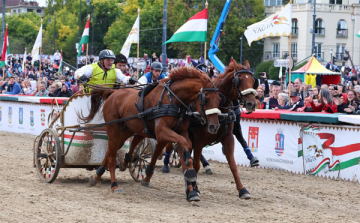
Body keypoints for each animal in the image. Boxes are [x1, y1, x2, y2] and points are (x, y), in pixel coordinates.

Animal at [79, 66, 222, 199]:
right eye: (206, 99)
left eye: (219, 99)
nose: (214, 126)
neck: (172, 99)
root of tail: (113, 93)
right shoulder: (162, 132)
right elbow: (184, 145)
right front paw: (191, 177)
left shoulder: (182, 132)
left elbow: (184, 154)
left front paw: (191, 191)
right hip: (113, 129)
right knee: (112, 157)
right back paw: (114, 185)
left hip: (127, 130)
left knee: (112, 151)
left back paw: (99, 175)